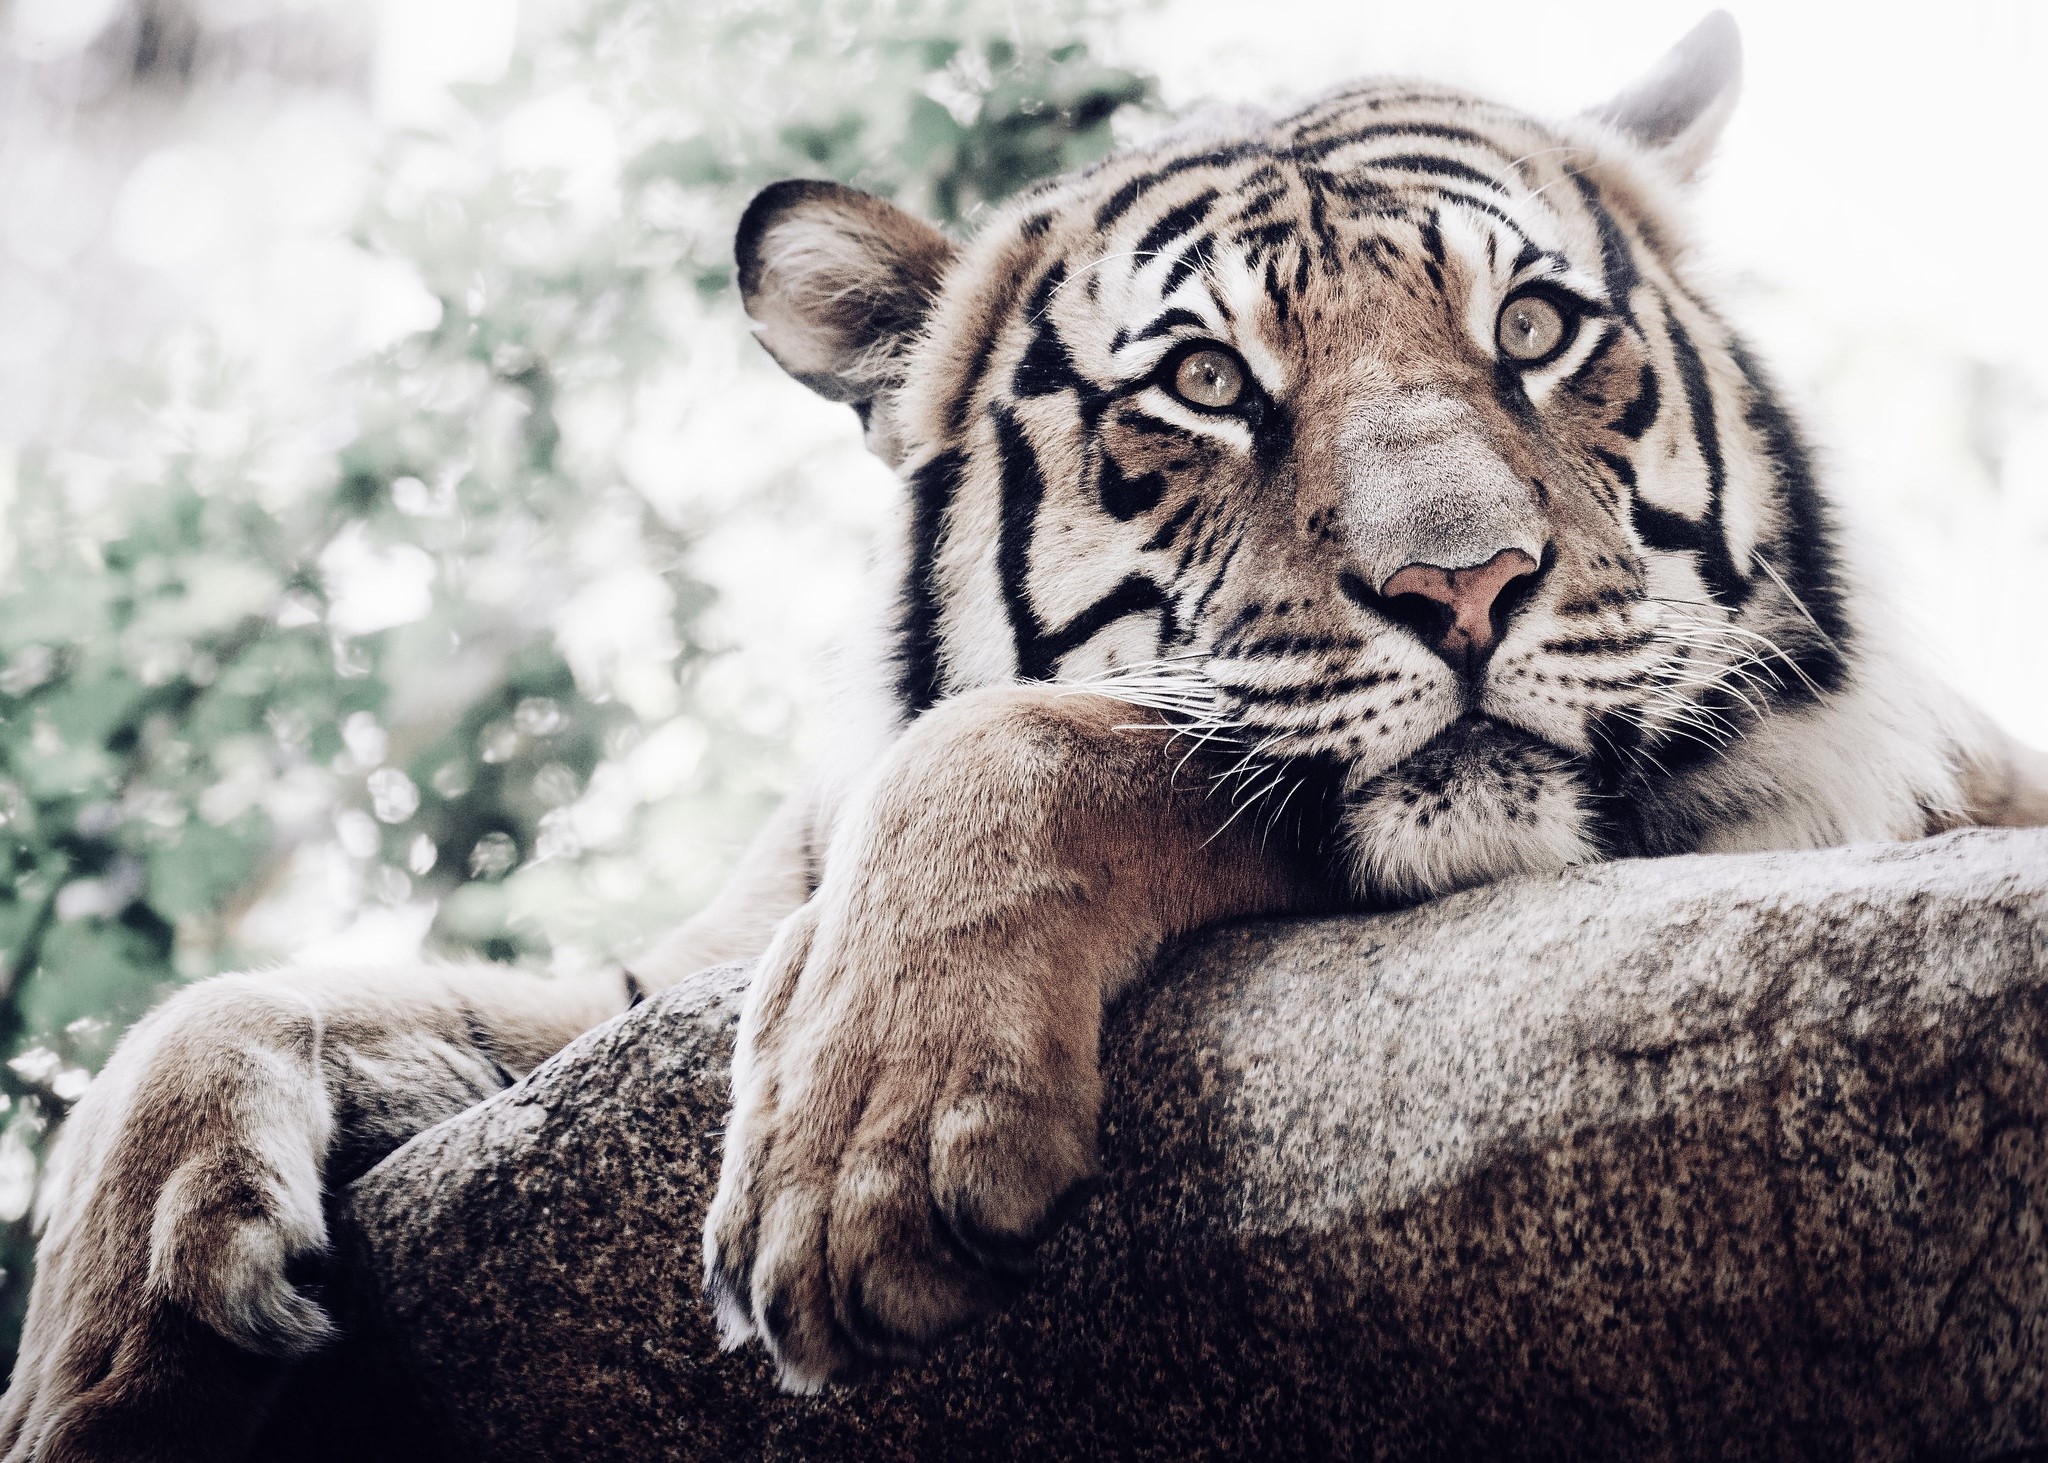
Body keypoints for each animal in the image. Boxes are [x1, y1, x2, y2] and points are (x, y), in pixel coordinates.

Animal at [4, 11, 2045, 1456]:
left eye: (1533, 330)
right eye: (1206, 382)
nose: (1465, 589)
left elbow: (1041, 734)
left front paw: (858, 1153)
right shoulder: (652, 981)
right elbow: (256, 1003)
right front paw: (109, 1350)